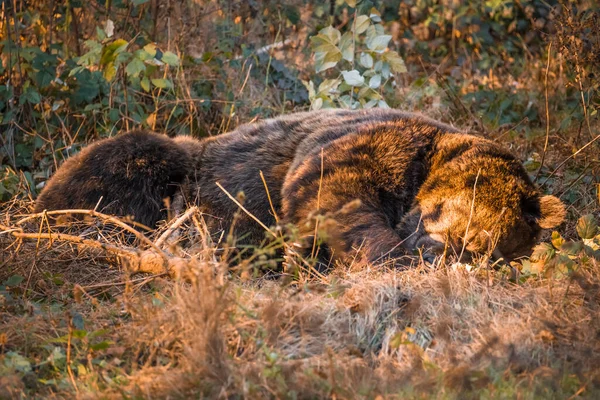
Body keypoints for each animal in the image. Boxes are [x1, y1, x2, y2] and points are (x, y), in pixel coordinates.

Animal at [35, 109, 564, 266]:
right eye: (462, 222)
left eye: (487, 247)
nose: (437, 251)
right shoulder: (369, 143)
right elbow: (335, 193)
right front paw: (385, 255)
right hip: (183, 163)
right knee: (129, 159)